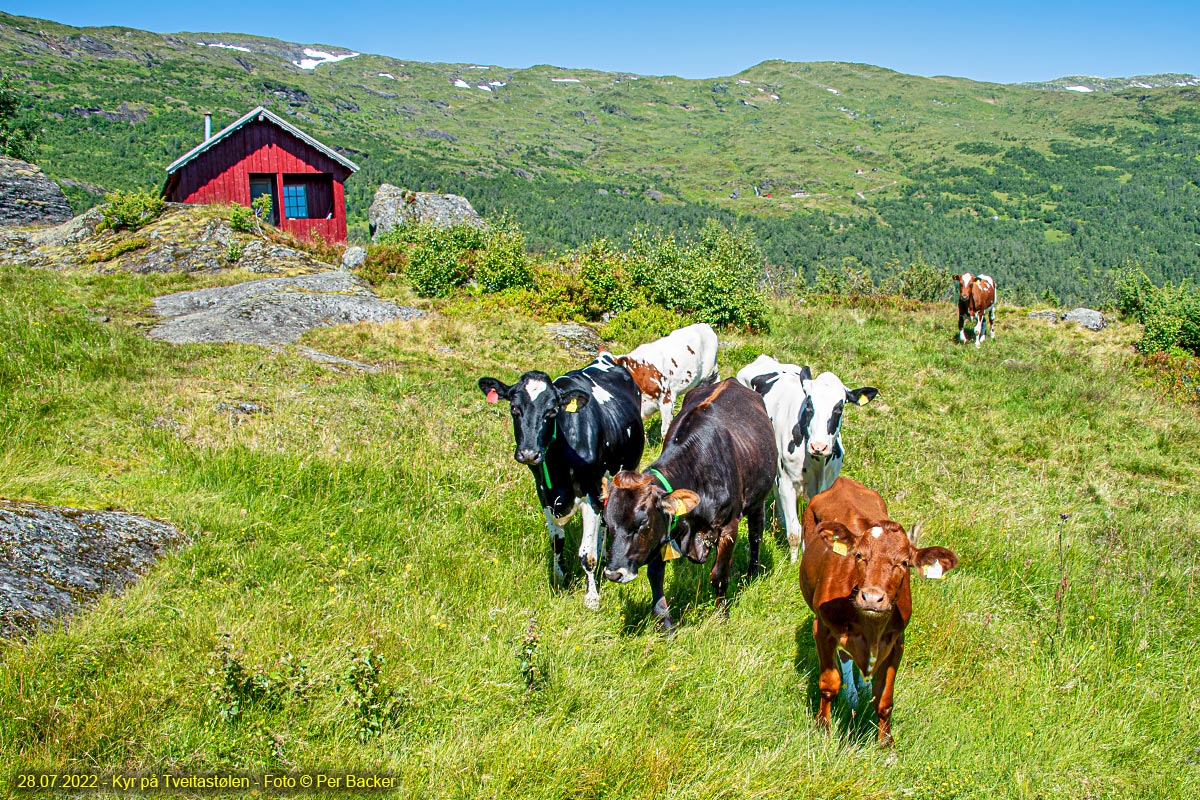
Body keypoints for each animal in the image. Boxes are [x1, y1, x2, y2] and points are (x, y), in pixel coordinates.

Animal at [477, 352, 648, 609]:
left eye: (551, 412)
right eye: (514, 409)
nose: (529, 453)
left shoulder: (590, 494)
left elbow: (587, 555)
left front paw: (592, 597)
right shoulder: (545, 495)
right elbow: (557, 543)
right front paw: (559, 582)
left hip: (625, 471)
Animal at [734, 357, 878, 563]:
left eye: (839, 407)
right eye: (809, 404)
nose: (818, 446)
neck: (816, 463)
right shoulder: (787, 482)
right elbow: (795, 531)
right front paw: (794, 562)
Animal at [801, 474, 960, 743]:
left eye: (904, 562)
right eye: (859, 556)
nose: (872, 598)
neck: (870, 626)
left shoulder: (897, 641)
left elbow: (885, 699)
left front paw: (885, 741)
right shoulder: (822, 628)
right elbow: (829, 684)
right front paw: (823, 727)